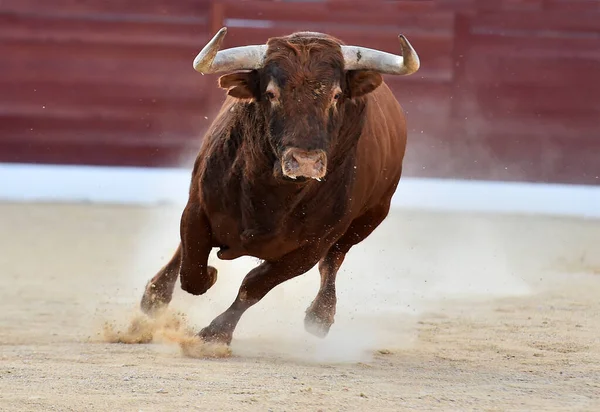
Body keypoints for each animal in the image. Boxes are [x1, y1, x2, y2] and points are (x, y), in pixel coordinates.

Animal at [141, 26, 422, 344]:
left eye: (337, 95)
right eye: (271, 93)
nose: (305, 161)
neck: (269, 192)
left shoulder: (308, 249)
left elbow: (254, 286)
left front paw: (215, 334)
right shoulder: (196, 209)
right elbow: (193, 269)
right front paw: (203, 278)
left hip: (369, 219)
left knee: (334, 259)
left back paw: (320, 316)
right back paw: (154, 295)